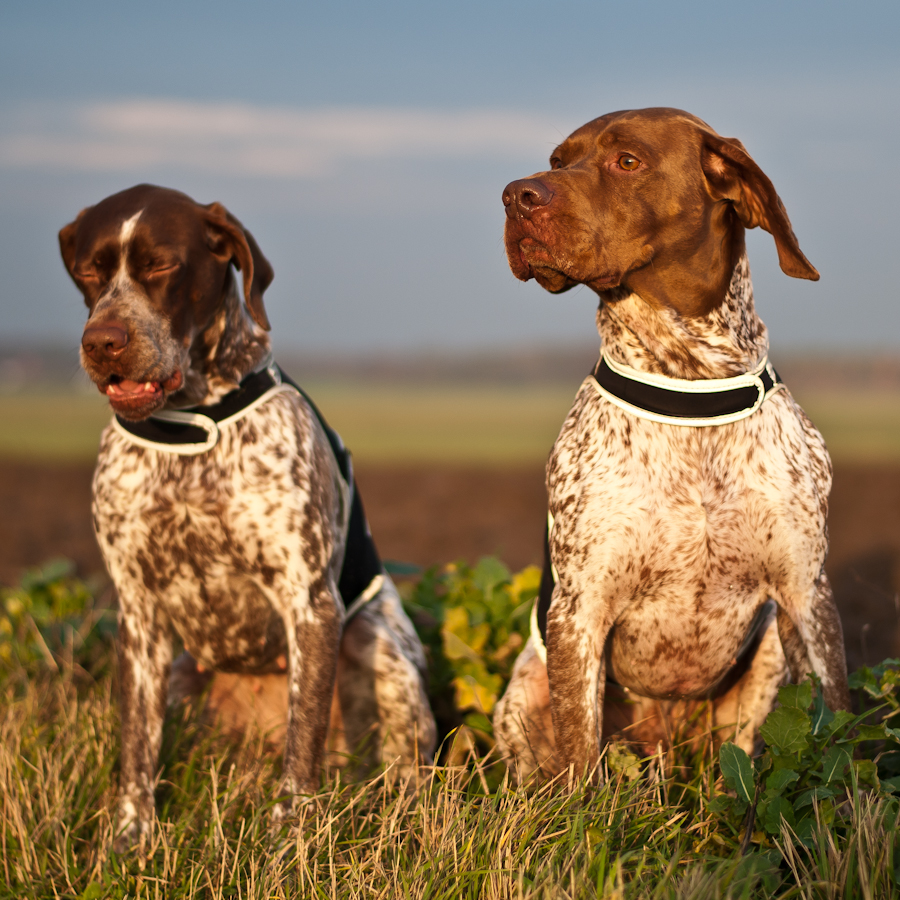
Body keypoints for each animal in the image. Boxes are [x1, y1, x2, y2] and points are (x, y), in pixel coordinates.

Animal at [57, 183, 436, 844]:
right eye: (88, 272)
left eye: (162, 265)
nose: (102, 342)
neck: (189, 428)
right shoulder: (139, 613)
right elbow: (136, 744)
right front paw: (131, 838)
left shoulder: (308, 602)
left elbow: (303, 739)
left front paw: (293, 832)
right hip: (183, 672)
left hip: (377, 644)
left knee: (401, 762)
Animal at [492, 109, 852, 776]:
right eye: (557, 161)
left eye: (627, 161)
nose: (514, 196)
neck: (688, 385)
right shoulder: (580, 611)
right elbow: (581, 760)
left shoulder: (806, 593)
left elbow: (837, 729)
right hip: (525, 693)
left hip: (766, 655)